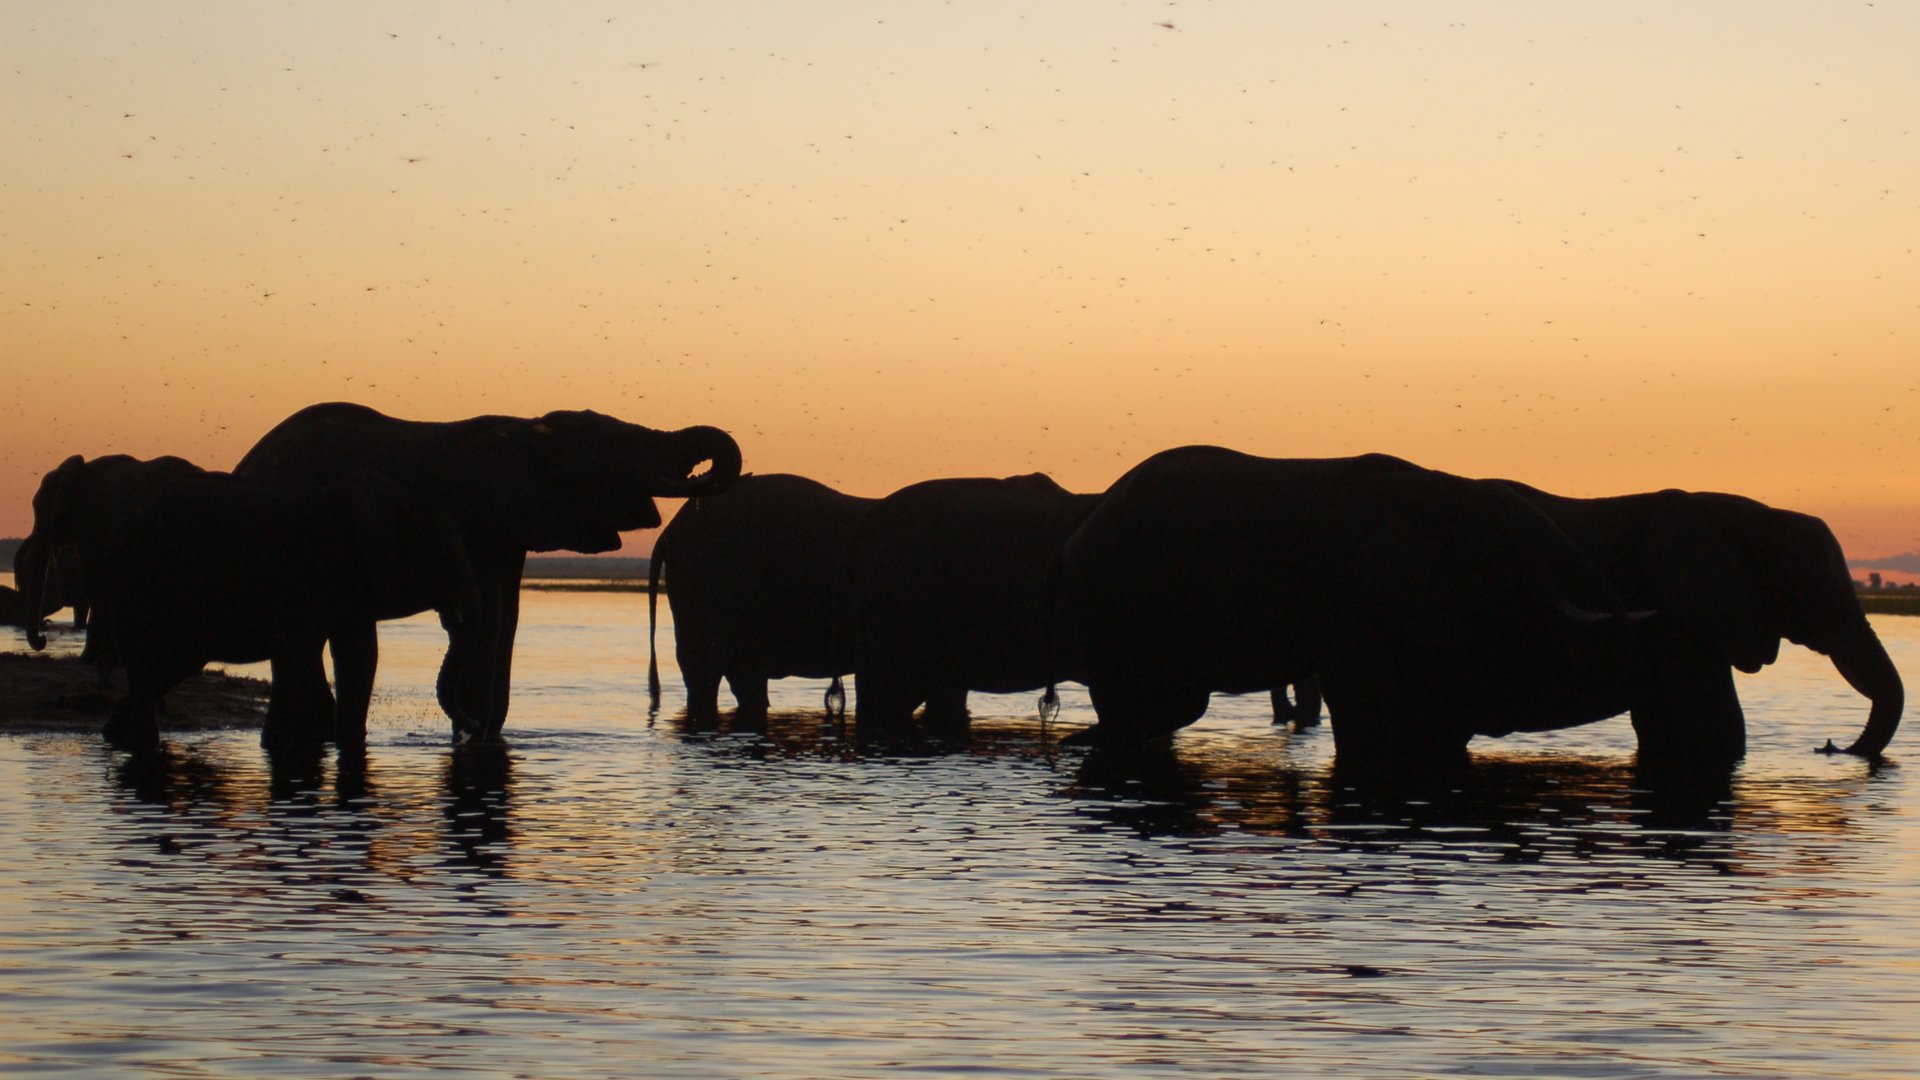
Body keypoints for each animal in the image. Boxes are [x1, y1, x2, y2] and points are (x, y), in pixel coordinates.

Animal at [94, 472, 477, 751]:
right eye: (442, 558)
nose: (469, 733)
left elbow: (358, 657)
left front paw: (345, 746)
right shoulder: (308, 572)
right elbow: (300, 655)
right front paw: (286, 746)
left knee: (172, 665)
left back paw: (116, 736)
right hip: (137, 587)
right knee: (149, 664)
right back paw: (142, 745)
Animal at [232, 401, 742, 744]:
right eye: (612, 451)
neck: (529, 432)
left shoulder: (511, 529)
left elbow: (505, 617)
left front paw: (482, 736)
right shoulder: (475, 518)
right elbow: (490, 614)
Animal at [1054, 446, 1636, 766]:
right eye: (1511, 553)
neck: (1446, 494)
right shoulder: (1346, 596)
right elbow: (1364, 704)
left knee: (1169, 706)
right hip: (1112, 600)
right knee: (1138, 703)